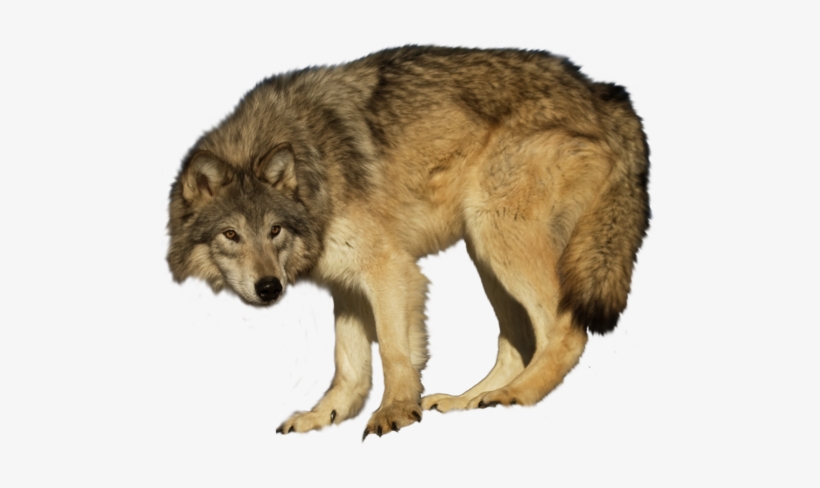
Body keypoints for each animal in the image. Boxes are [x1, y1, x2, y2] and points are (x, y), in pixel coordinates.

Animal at [167, 46, 650, 439]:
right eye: (231, 234)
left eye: (274, 231)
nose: (269, 288)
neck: (312, 163)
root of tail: (604, 91)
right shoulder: (346, 284)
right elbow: (349, 366)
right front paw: (324, 416)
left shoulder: (390, 270)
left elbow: (395, 351)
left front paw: (395, 411)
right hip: (484, 253)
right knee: (516, 343)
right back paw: (470, 399)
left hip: (499, 235)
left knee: (565, 331)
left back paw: (518, 394)